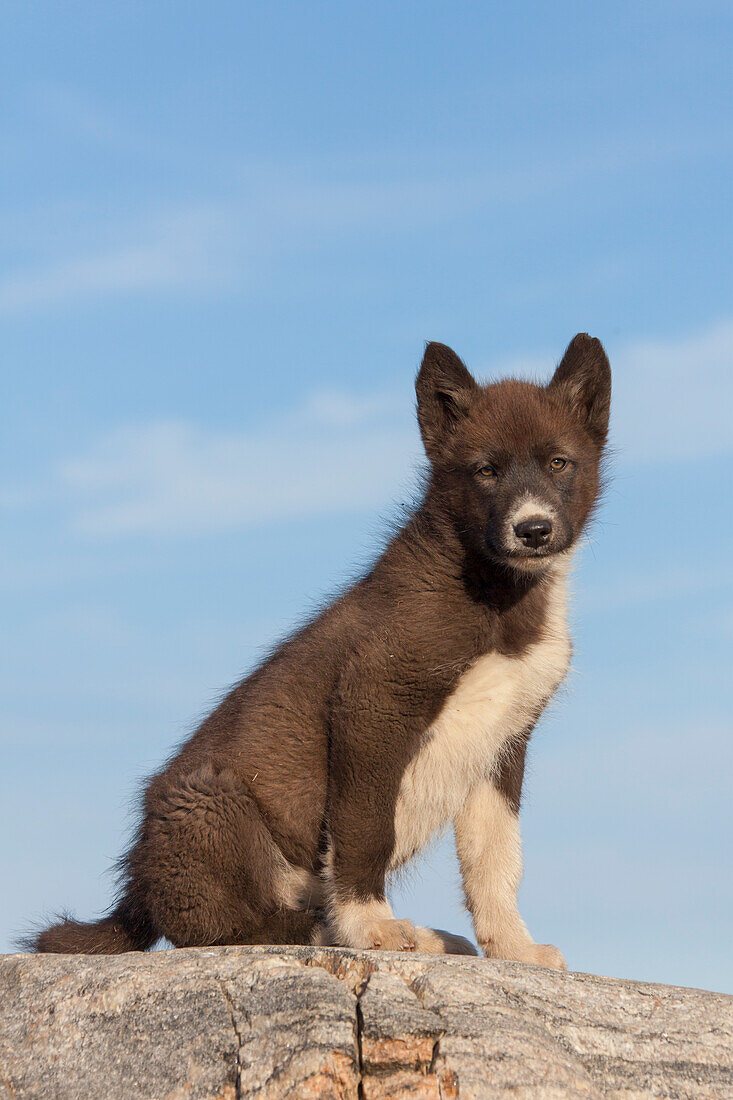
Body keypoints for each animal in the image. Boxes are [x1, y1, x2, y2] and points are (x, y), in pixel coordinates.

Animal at [29, 330, 611, 968]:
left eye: (558, 463)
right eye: (485, 470)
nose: (533, 530)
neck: (498, 600)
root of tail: (138, 887)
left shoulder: (505, 739)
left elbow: (496, 858)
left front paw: (514, 947)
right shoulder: (372, 703)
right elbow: (365, 830)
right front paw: (371, 927)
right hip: (214, 799)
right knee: (233, 927)